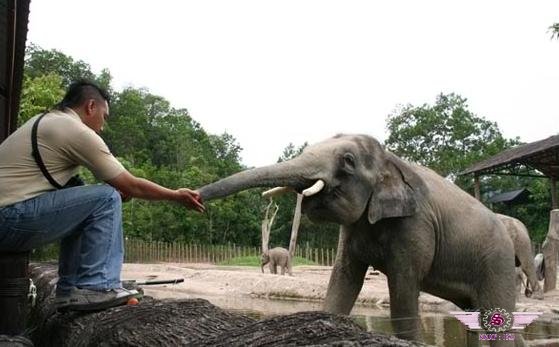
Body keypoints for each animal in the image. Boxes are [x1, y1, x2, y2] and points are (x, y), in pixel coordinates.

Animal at [198, 134, 520, 346]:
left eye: (348, 160)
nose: (195, 198)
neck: (391, 159)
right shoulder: (354, 227)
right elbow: (344, 278)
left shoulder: (415, 224)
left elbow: (403, 288)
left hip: (497, 263)